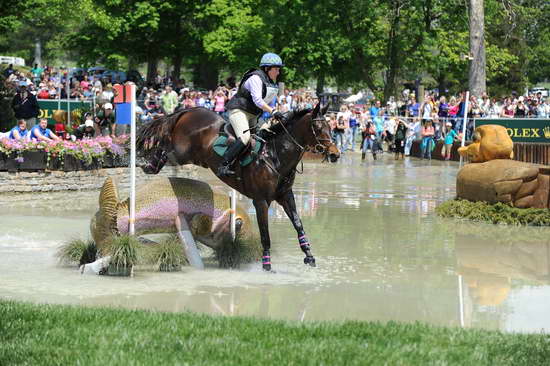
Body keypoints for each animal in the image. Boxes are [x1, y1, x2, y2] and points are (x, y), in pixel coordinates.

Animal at [136, 103, 338, 272]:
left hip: (196, 157)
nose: (335, 154)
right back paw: (147, 162)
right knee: (164, 146)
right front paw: (266, 265)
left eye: (330, 128)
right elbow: (265, 234)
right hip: (182, 150)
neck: (276, 156)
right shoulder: (261, 201)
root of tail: (190, 110)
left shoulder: (285, 196)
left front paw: (309, 256)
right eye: (318, 128)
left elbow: (298, 224)